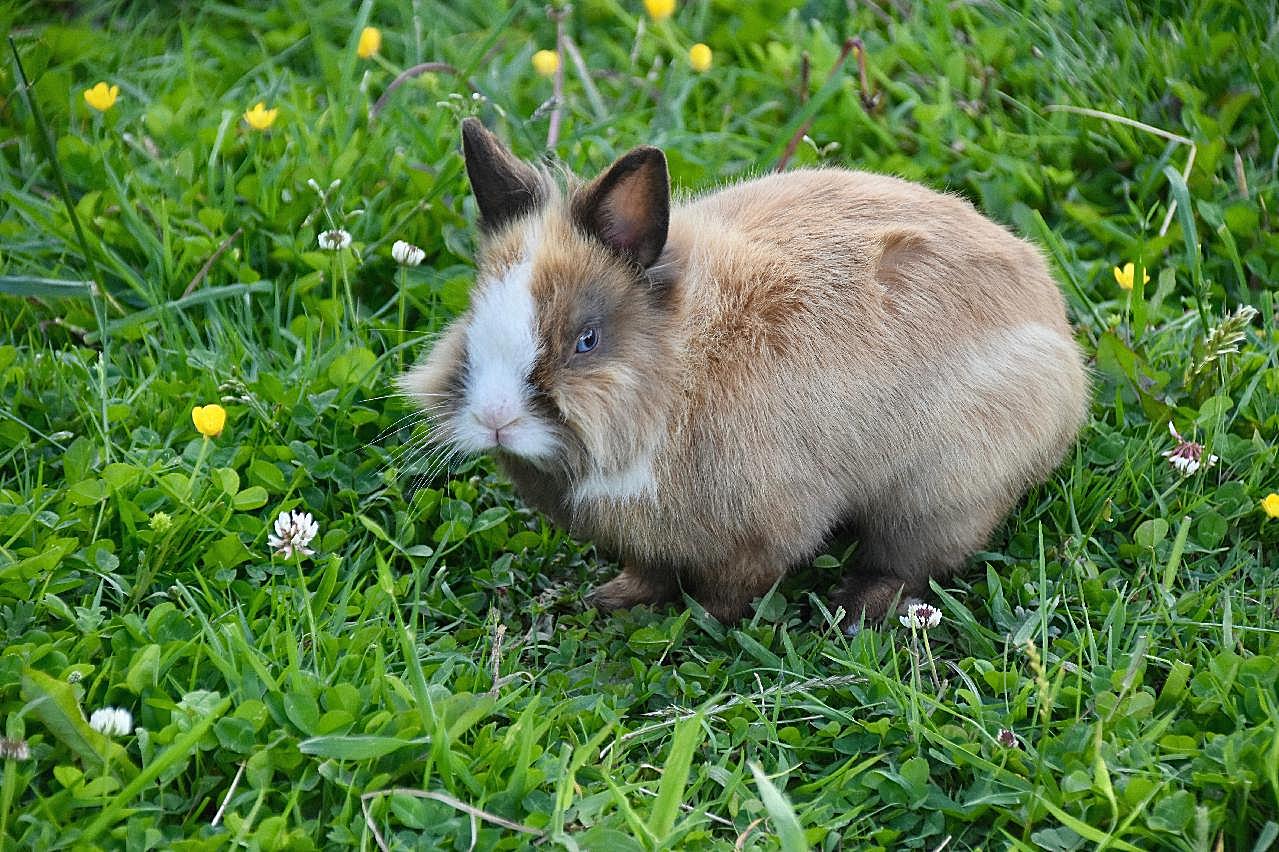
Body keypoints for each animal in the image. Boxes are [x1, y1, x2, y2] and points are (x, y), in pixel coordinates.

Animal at [401, 117, 1089, 624]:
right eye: (473, 318)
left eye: (586, 341)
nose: (495, 418)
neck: (676, 370)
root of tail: (1059, 341)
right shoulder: (648, 542)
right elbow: (649, 573)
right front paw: (614, 599)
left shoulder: (758, 534)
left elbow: (731, 590)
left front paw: (697, 623)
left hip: (940, 495)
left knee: (911, 561)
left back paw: (854, 608)